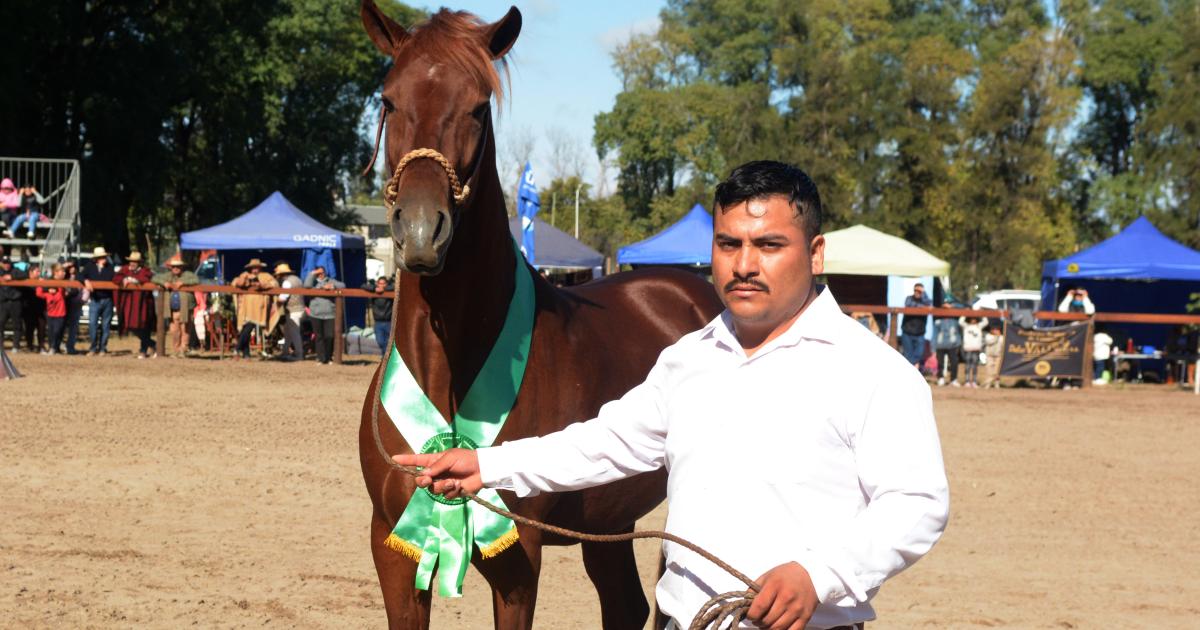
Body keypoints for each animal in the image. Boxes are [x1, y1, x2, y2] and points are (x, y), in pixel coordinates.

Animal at [357, 3, 724, 628]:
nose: (421, 232)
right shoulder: (393, 547)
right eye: (388, 100)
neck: (447, 366)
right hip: (610, 521)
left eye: (479, 107)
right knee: (624, 604)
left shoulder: (518, 557)